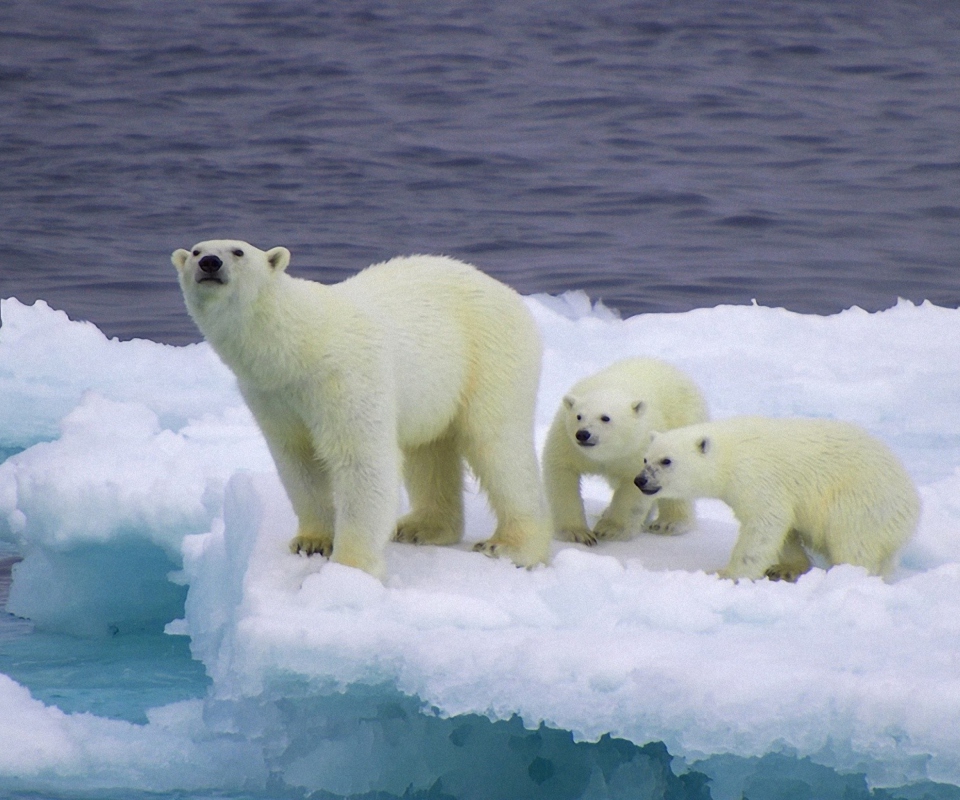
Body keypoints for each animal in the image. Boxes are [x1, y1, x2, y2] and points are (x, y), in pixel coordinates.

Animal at [169, 241, 552, 580]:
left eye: (238, 251)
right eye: (197, 250)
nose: (210, 264)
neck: (300, 344)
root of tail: (509, 293)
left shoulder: (345, 377)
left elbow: (361, 461)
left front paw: (349, 568)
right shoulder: (271, 396)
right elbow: (297, 460)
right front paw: (311, 541)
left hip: (490, 354)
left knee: (497, 445)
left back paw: (510, 546)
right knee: (428, 451)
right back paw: (421, 527)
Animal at [544, 360, 708, 548]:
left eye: (605, 418)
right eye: (578, 416)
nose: (583, 434)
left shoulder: (639, 446)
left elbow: (634, 486)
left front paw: (608, 530)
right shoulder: (567, 442)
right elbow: (562, 475)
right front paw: (578, 534)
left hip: (682, 423)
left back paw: (668, 524)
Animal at [632, 418, 920, 580]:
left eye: (666, 461)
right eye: (645, 458)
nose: (640, 480)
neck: (730, 453)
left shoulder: (758, 477)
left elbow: (764, 523)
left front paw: (725, 573)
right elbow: (784, 527)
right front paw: (784, 567)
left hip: (862, 502)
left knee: (853, 543)